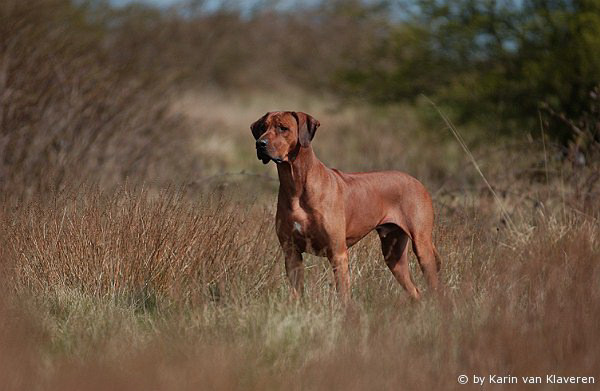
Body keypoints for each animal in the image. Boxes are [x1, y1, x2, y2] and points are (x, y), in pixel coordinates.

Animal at [251, 112, 438, 302]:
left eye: (283, 128)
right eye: (262, 127)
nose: (259, 143)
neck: (296, 185)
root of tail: (417, 182)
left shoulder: (338, 254)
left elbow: (343, 295)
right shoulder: (291, 253)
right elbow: (297, 292)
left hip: (422, 246)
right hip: (393, 254)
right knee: (415, 291)